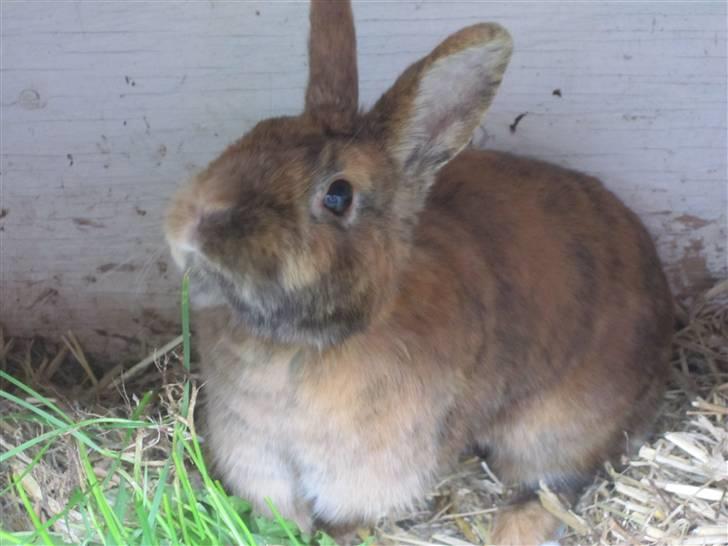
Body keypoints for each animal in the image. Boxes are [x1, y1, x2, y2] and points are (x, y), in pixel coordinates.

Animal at [164, 1, 674, 544]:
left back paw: (513, 527)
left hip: (557, 428)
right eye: (253, 135)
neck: (302, 346)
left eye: (338, 195)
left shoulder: (366, 471)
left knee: (554, 483)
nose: (190, 228)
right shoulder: (255, 450)